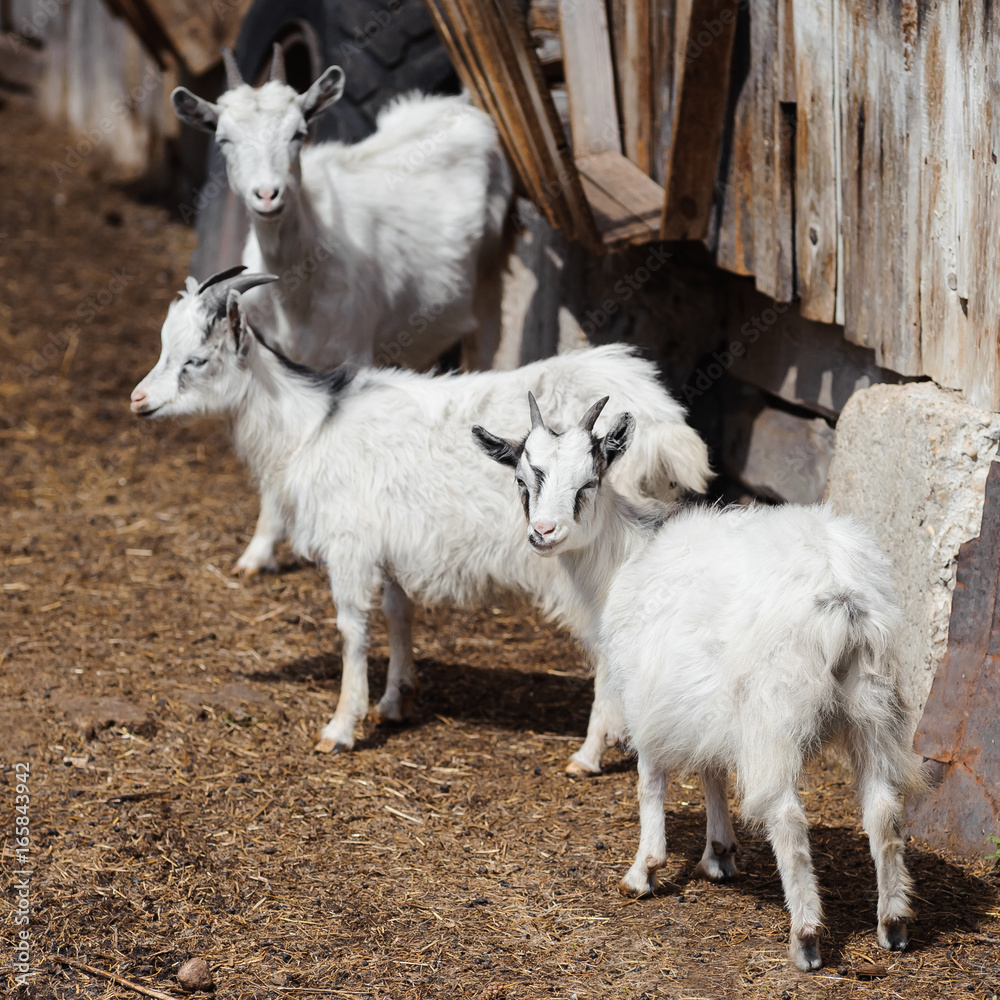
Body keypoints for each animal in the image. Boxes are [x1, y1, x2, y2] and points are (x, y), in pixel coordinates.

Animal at [130, 270, 711, 774]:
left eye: (197, 360)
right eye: (163, 348)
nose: (138, 400)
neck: (311, 425)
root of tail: (668, 428)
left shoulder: (350, 545)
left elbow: (353, 630)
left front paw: (341, 727)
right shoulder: (388, 546)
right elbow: (397, 613)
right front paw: (394, 700)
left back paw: (590, 753)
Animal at [171, 48, 514, 573]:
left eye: (299, 132)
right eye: (224, 138)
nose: (267, 195)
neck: (298, 286)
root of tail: (461, 105)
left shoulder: (353, 350)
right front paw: (257, 553)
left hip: (491, 279)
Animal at [474, 395, 927, 971]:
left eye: (589, 481)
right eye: (522, 479)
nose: (544, 532)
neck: (626, 558)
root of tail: (842, 594)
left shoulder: (647, 690)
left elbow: (650, 780)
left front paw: (643, 871)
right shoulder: (704, 698)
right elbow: (712, 770)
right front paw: (719, 855)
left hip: (772, 715)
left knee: (787, 816)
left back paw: (806, 938)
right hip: (873, 702)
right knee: (884, 811)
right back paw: (893, 925)